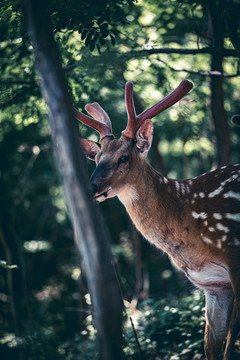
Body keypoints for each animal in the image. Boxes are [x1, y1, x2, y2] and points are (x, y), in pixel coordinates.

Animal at [75, 81, 240, 360]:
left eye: (124, 157)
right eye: (96, 159)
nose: (91, 187)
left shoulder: (236, 260)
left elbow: (230, 345)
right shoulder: (214, 285)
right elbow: (212, 346)